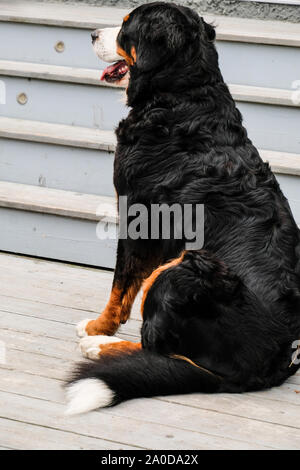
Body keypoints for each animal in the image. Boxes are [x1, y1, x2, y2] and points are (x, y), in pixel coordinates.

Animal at [64, 1, 298, 414]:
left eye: (125, 27)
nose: (91, 33)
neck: (181, 98)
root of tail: (271, 360)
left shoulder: (138, 216)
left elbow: (120, 287)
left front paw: (97, 327)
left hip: (178, 271)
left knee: (159, 350)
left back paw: (99, 345)